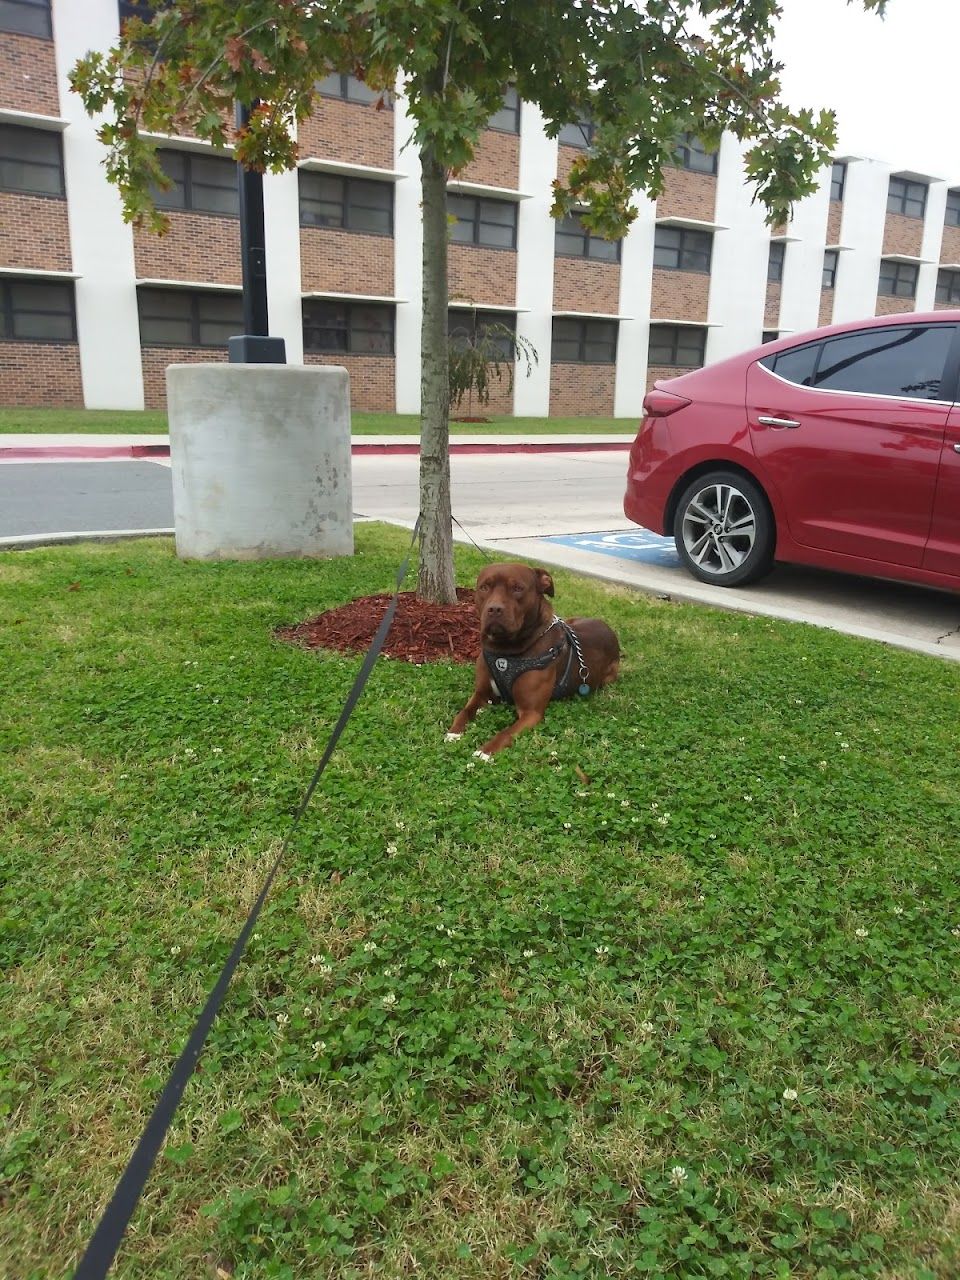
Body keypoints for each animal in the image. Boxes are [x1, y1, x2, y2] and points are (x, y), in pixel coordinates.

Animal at [448, 563, 619, 757]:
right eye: (484, 587)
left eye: (517, 588)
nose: (494, 609)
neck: (505, 650)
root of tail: (608, 628)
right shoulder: (481, 693)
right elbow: (464, 711)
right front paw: (454, 732)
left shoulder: (531, 713)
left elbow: (506, 732)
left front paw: (485, 752)